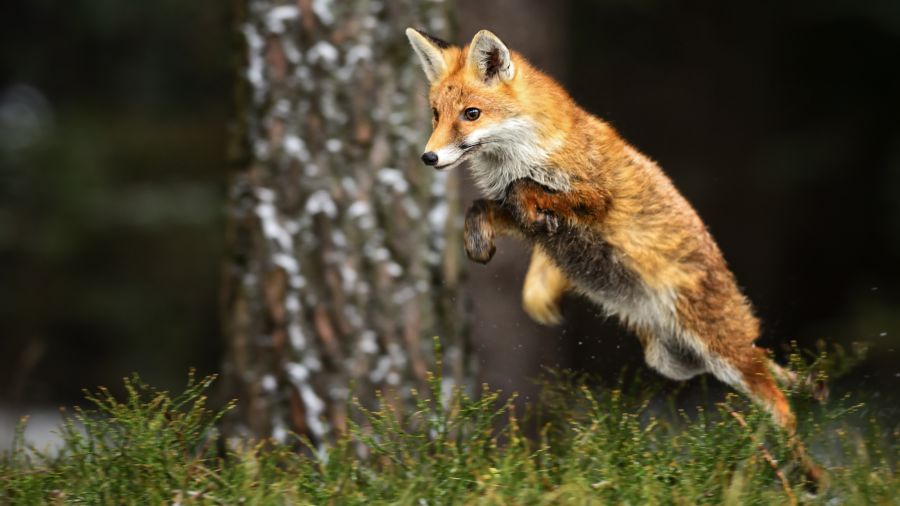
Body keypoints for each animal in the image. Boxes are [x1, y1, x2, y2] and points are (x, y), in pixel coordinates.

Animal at [406, 26, 824, 482]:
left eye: (471, 114)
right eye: (435, 115)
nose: (428, 157)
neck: (524, 153)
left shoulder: (595, 197)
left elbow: (525, 190)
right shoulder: (514, 215)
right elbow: (483, 207)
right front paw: (480, 243)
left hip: (721, 351)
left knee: (781, 403)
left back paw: (809, 475)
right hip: (674, 361)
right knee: (768, 370)